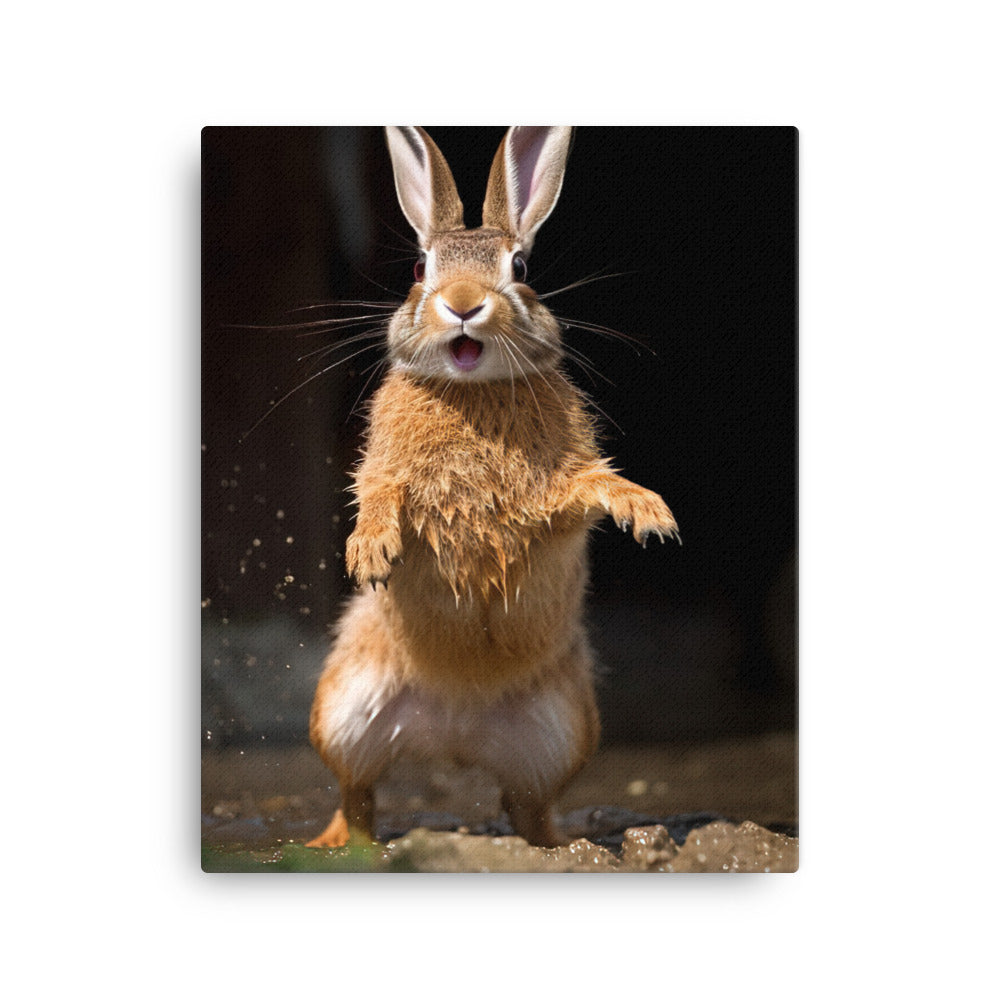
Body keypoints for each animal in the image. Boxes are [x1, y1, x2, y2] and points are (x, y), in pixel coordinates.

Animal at [306, 126, 679, 849]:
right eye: (419, 268)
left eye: (522, 269)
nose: (462, 304)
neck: (471, 389)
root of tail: (455, 729)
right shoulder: (383, 470)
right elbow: (379, 494)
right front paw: (371, 553)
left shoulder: (559, 492)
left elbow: (586, 487)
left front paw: (647, 512)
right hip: (343, 709)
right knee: (356, 794)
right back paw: (332, 843)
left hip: (562, 730)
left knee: (527, 806)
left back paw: (559, 847)